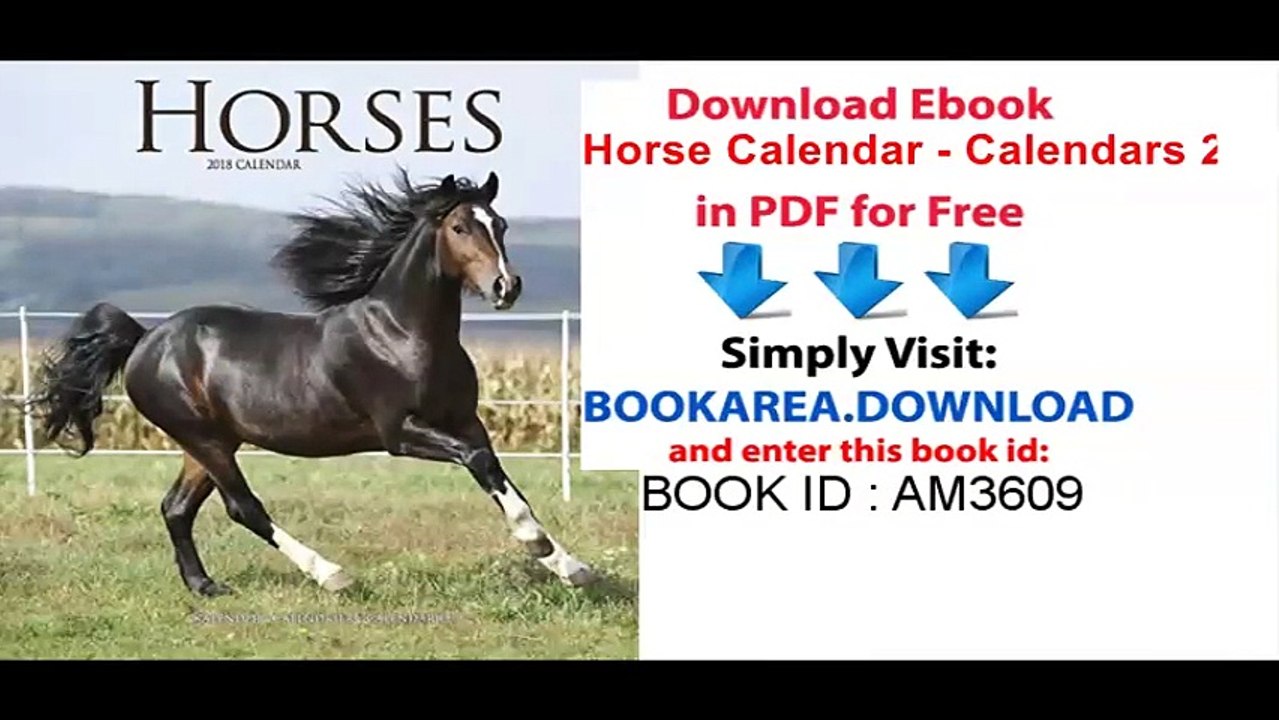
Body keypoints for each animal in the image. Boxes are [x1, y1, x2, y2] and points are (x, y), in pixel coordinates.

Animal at [25, 169, 595, 596]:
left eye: (499, 224)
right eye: (459, 228)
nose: (506, 287)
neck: (403, 332)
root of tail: (145, 338)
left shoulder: (464, 420)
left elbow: (494, 471)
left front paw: (568, 565)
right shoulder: (399, 431)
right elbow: (479, 463)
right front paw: (537, 544)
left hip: (209, 442)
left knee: (177, 508)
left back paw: (205, 587)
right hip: (205, 439)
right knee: (243, 508)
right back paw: (332, 575)